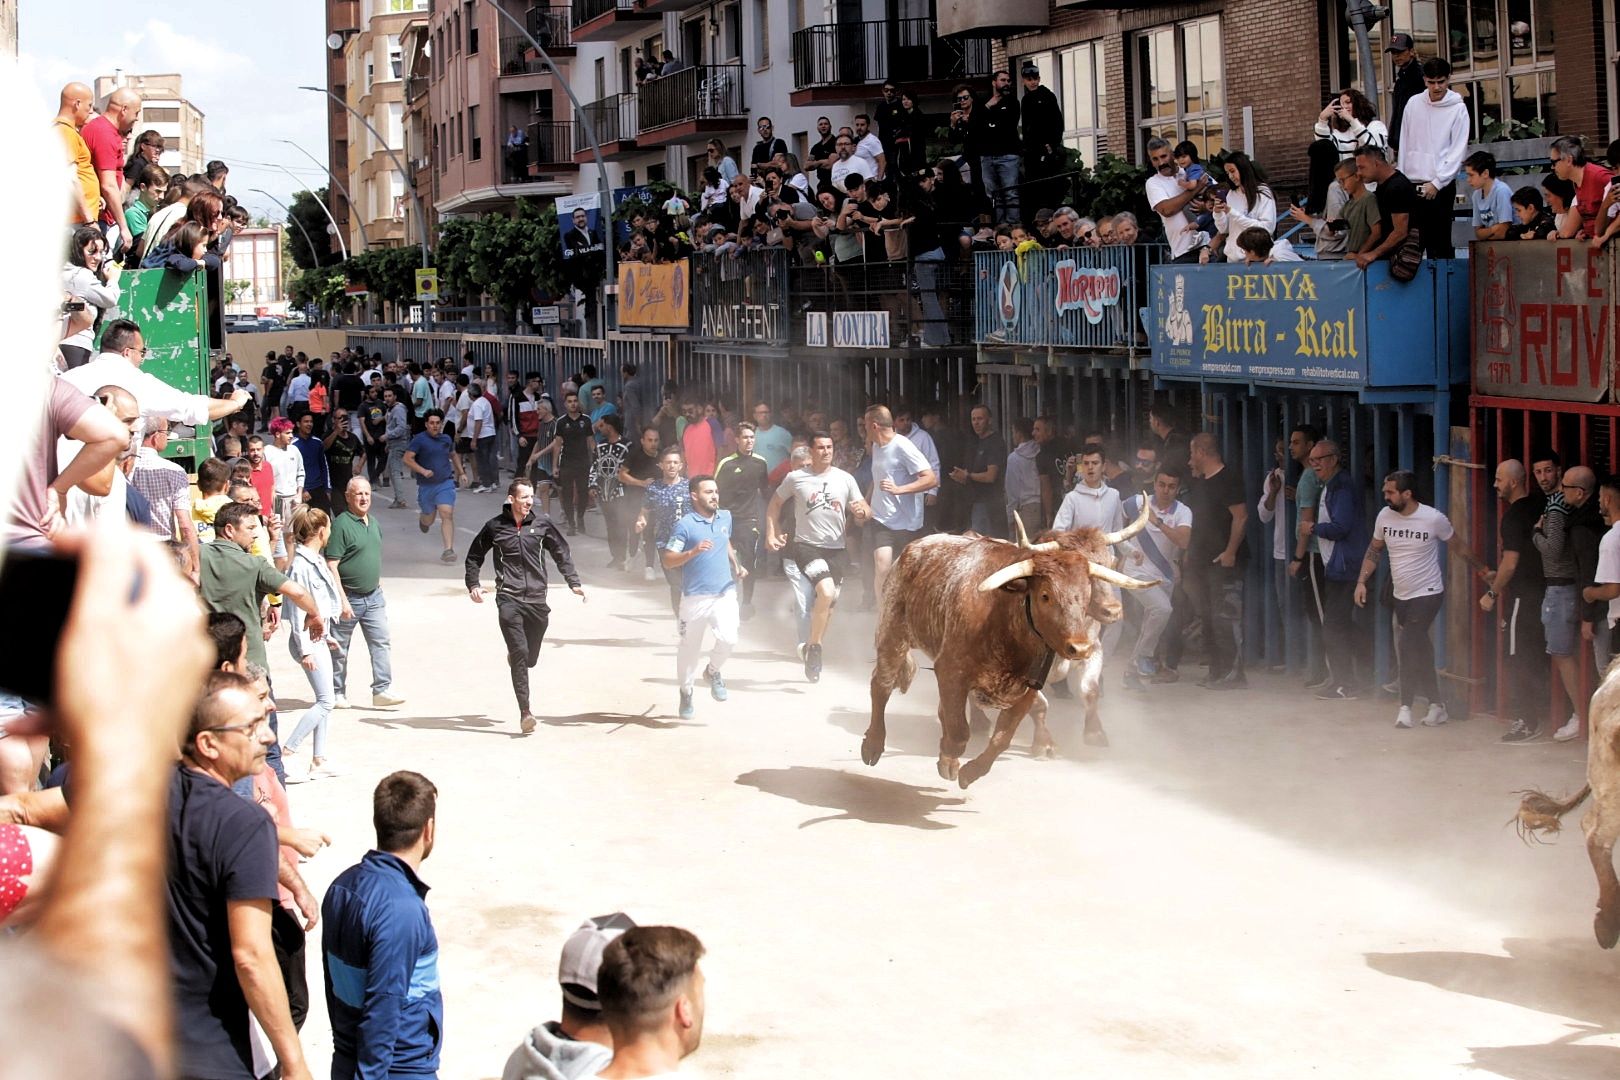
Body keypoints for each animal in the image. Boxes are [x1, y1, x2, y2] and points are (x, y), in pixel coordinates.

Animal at [868, 501, 1159, 790]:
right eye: (1045, 595)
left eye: (1109, 564)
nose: (1113, 610)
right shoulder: (952, 667)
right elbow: (1023, 712)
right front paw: (1044, 744)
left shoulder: (1088, 652)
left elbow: (1087, 692)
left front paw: (1095, 733)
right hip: (893, 633)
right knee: (882, 684)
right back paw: (875, 744)